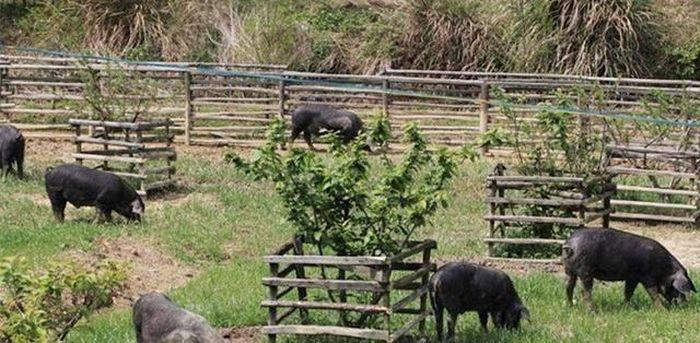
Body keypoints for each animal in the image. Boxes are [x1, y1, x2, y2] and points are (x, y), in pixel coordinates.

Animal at [560, 228, 696, 310]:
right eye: (677, 289)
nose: (685, 305)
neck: (664, 269)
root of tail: (569, 245)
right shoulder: (647, 277)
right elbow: (653, 292)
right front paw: (662, 310)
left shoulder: (632, 278)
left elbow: (628, 292)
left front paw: (625, 307)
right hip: (585, 271)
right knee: (585, 291)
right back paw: (592, 311)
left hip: (569, 270)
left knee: (568, 286)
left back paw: (569, 307)